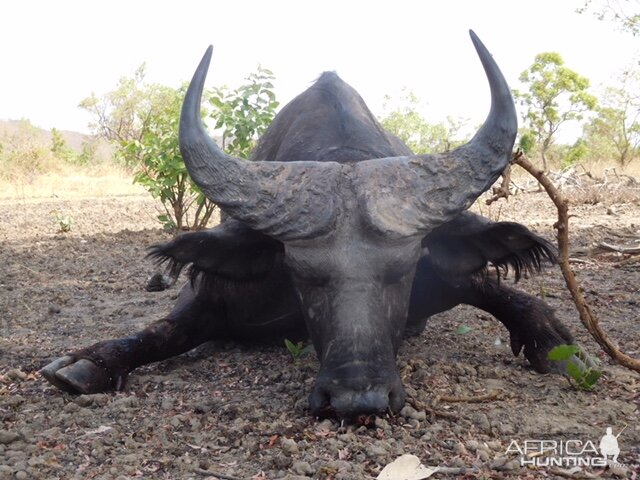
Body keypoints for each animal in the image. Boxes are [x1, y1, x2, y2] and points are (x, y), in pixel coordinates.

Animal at [42, 31, 572, 418]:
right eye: (302, 273)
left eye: (403, 269)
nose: (358, 400)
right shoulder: (211, 298)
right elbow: (159, 331)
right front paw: (88, 362)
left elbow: (501, 291)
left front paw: (551, 340)